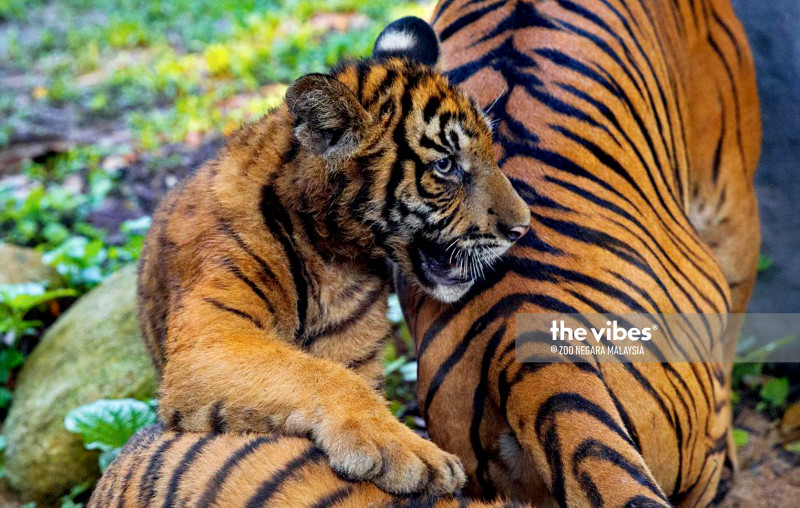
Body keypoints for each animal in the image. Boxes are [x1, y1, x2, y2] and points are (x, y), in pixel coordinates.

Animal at [133, 15, 530, 498]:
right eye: (445, 166)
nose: (521, 227)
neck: (329, 251)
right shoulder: (211, 338)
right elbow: (313, 373)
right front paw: (412, 453)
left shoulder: (352, 350)